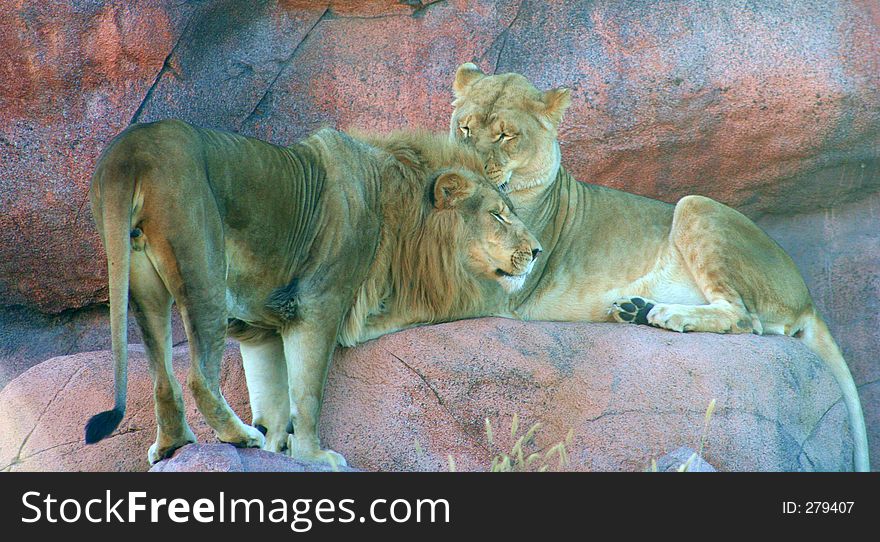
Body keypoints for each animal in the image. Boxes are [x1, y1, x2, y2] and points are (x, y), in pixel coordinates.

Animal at [87, 121, 544, 470]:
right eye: (499, 215)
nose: (538, 250)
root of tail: (128, 149)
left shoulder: (259, 329)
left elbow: (272, 397)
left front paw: (277, 449)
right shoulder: (318, 303)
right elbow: (306, 392)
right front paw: (313, 454)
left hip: (140, 281)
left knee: (163, 378)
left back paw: (175, 444)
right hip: (204, 267)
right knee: (199, 377)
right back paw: (239, 436)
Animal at [450, 62, 868, 472]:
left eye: (506, 135)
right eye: (465, 128)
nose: (469, 164)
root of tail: (807, 294)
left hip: (695, 204)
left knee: (744, 318)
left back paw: (667, 314)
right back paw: (634, 309)